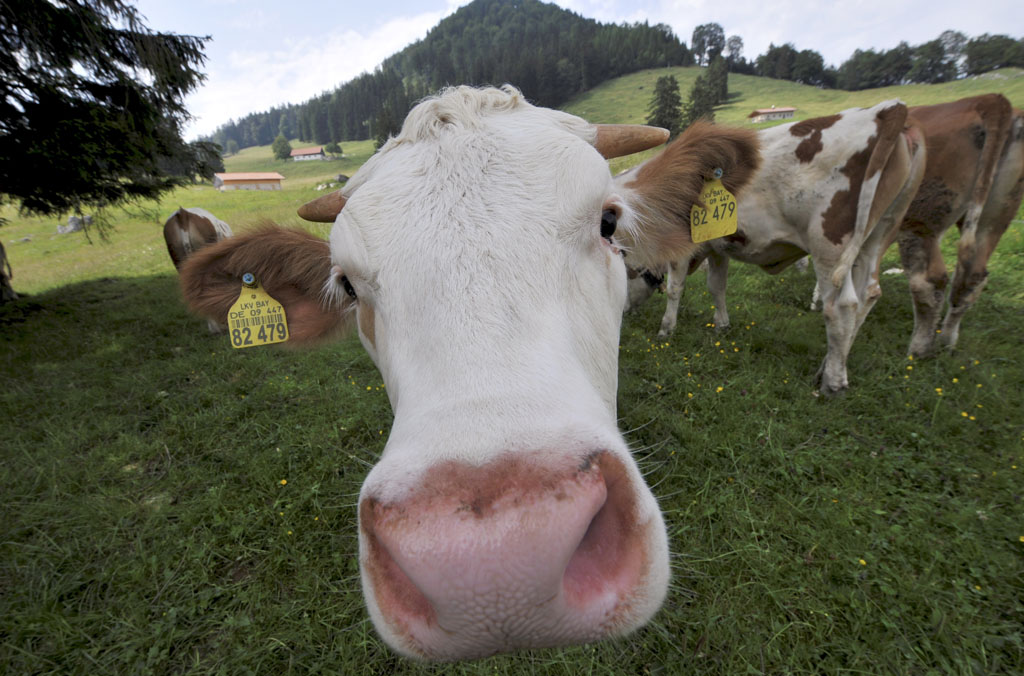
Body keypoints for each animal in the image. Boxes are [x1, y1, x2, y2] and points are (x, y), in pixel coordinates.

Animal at [626, 100, 927, 395]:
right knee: (867, 296)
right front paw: (721, 325)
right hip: (877, 236)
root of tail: (887, 109)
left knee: (842, 307)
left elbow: (675, 289)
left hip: (830, 245)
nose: (625, 313)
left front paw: (666, 329)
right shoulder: (717, 245)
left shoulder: (684, 249)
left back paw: (832, 383)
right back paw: (829, 366)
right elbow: (717, 285)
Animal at [896, 94, 1024, 356]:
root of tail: (988, 100)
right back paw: (947, 340)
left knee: (929, 281)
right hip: (995, 218)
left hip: (918, 221)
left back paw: (919, 348)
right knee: (972, 278)